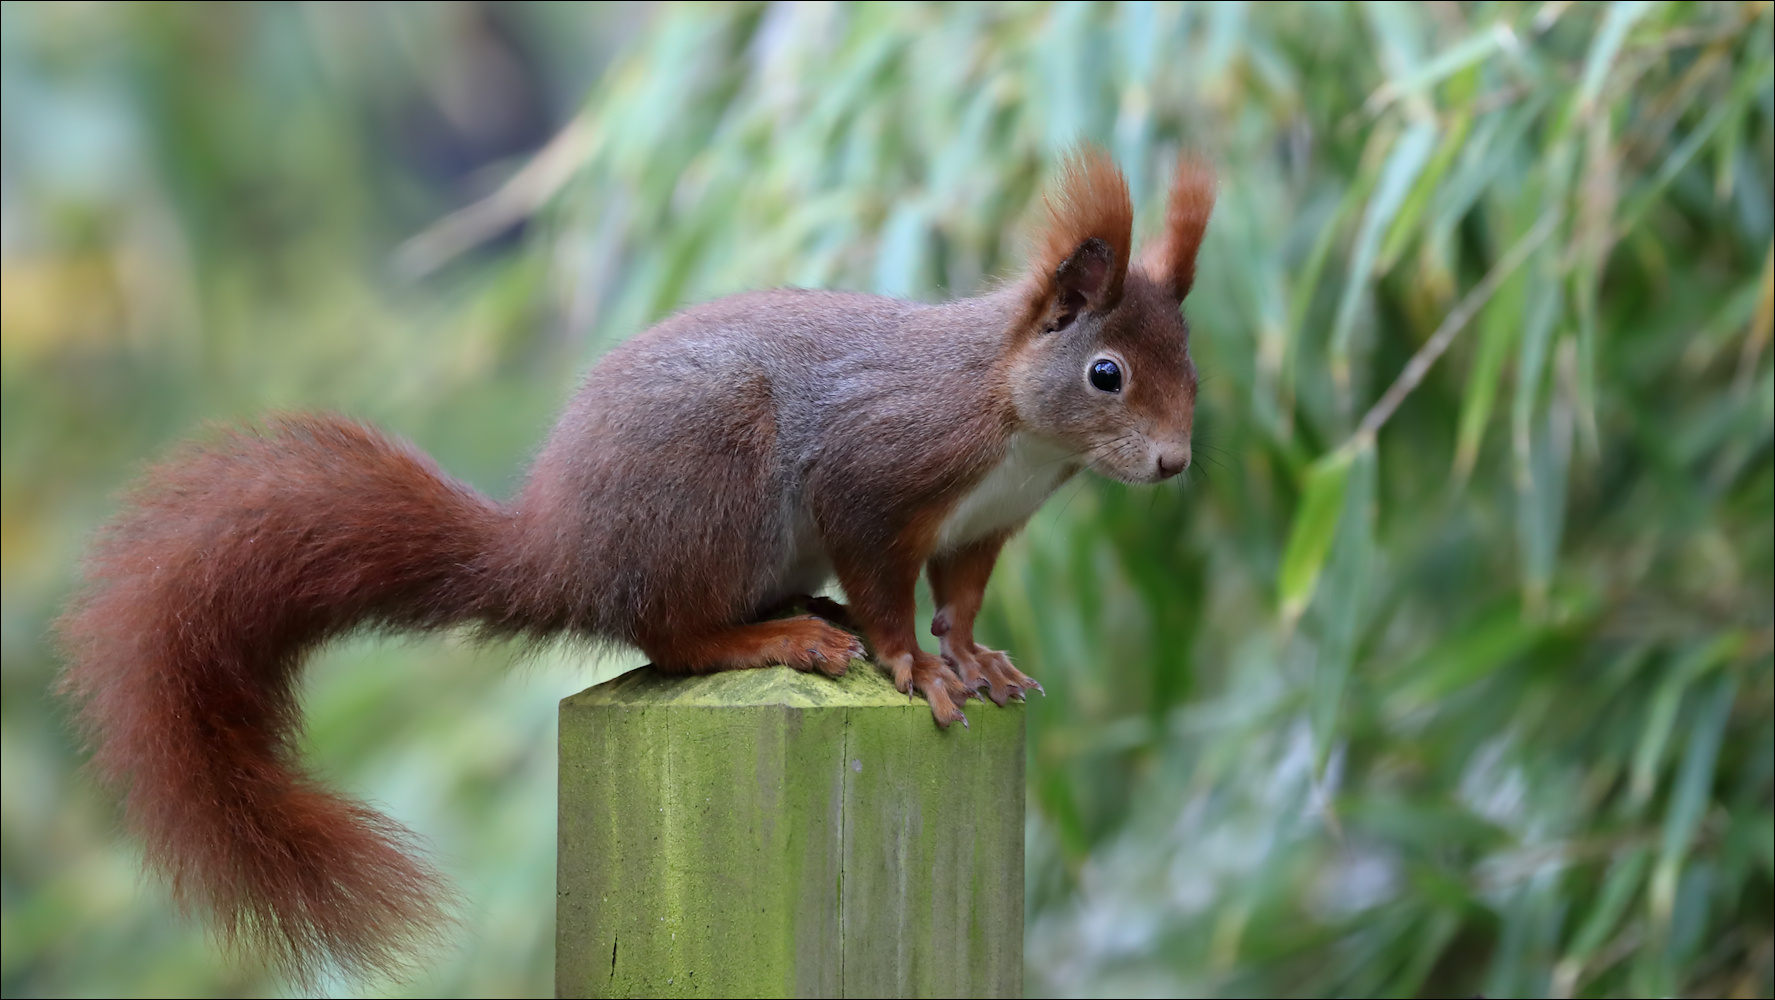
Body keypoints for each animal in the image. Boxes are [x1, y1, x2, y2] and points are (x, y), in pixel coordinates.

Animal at [59, 148, 1221, 980]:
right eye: (1106, 372)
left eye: (1193, 370)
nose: (1172, 463)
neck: (1016, 422)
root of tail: (561, 551)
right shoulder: (877, 475)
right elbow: (888, 588)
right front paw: (916, 667)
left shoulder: (983, 526)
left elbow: (963, 599)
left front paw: (977, 662)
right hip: (712, 481)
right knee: (667, 635)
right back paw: (783, 635)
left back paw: (807, 612)